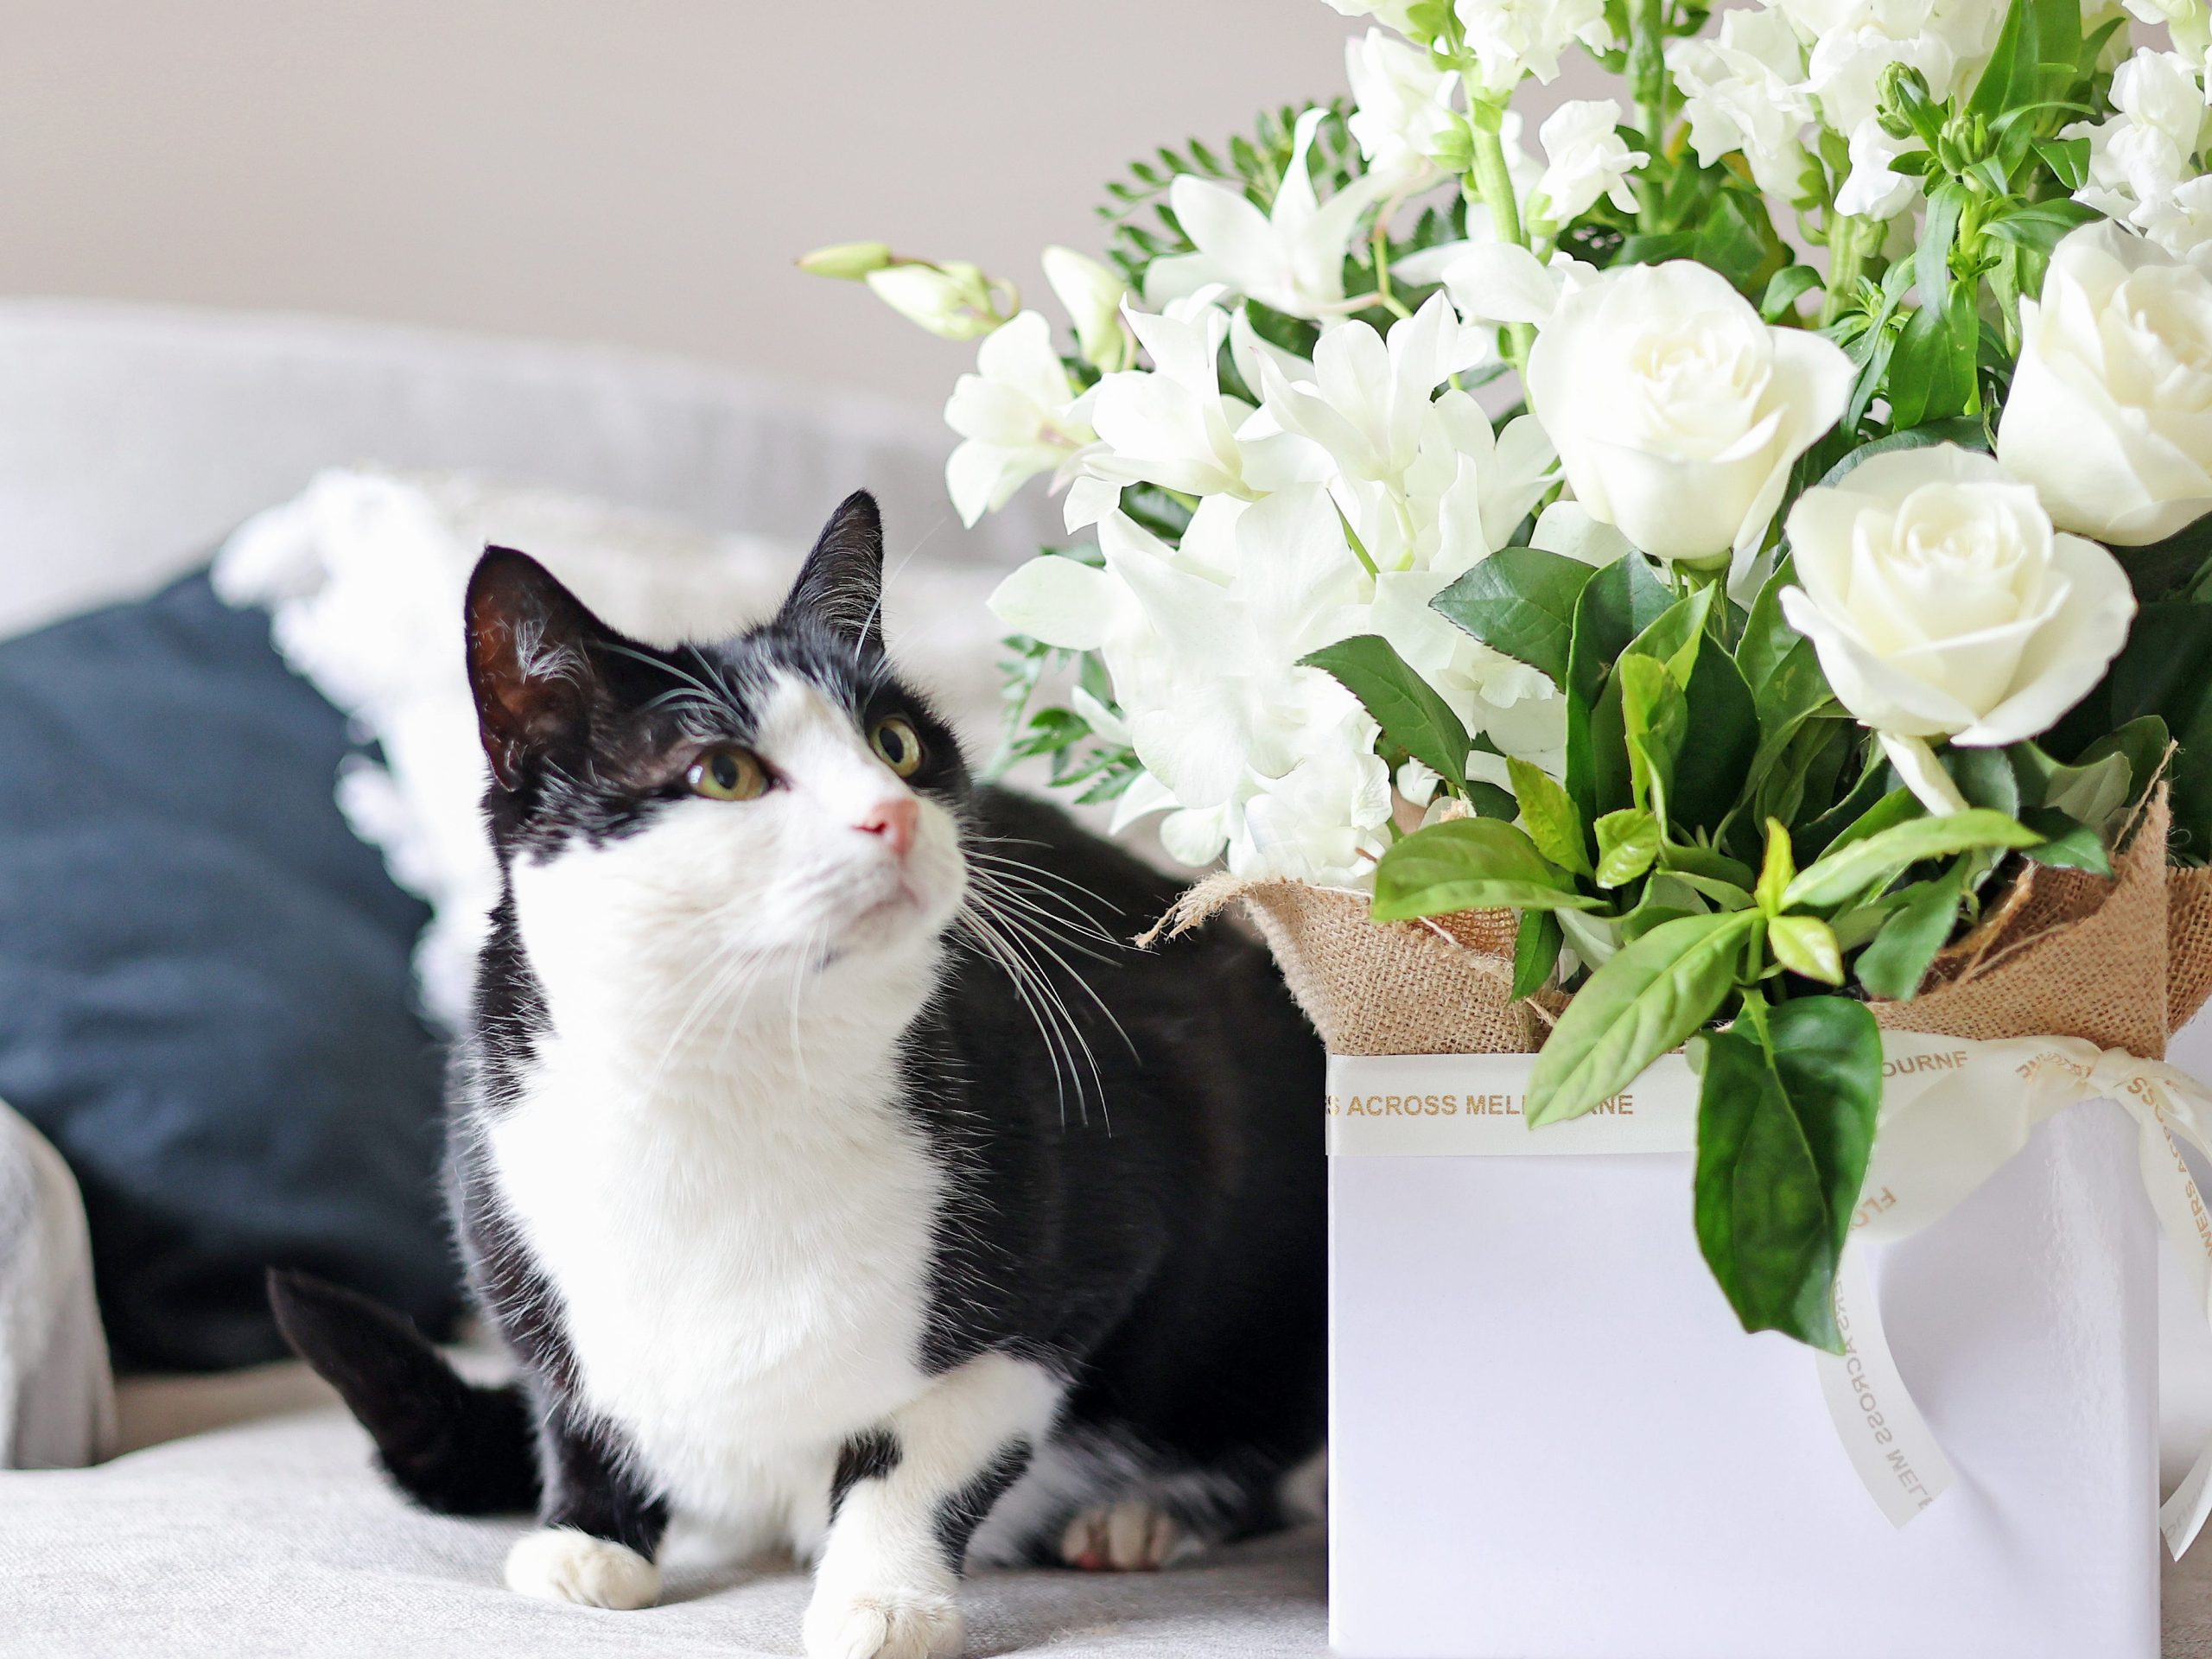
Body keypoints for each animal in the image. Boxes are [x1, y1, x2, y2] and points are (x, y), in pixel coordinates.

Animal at [267, 493, 1318, 1659]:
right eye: (722, 773)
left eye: (895, 744)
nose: (891, 815)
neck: (730, 1076)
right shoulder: (507, 1210)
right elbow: (571, 1391)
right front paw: (590, 1536)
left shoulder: (1095, 1241)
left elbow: (918, 1452)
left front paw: (884, 1597)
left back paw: (1143, 1513)